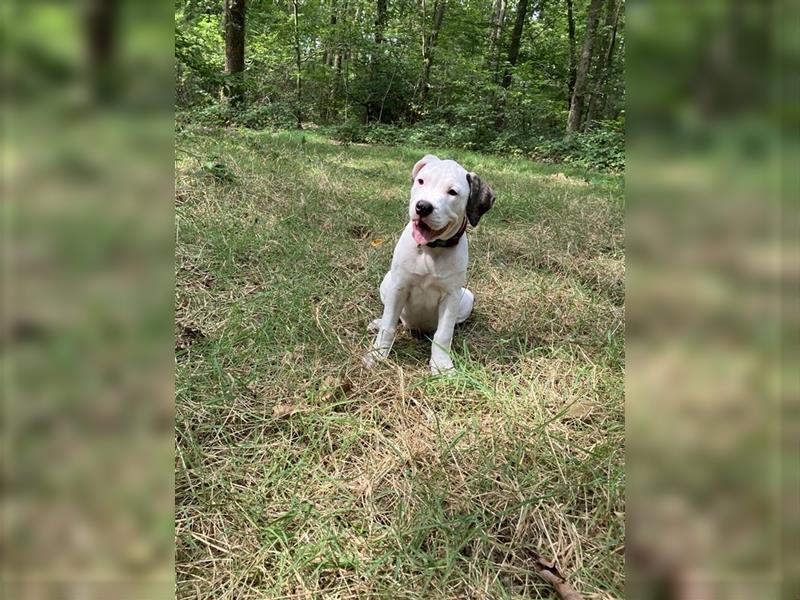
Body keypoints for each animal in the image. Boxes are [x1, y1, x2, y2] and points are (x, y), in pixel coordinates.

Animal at [368, 154, 494, 370]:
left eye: (452, 192)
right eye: (421, 181)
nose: (423, 206)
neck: (430, 250)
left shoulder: (451, 296)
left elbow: (443, 335)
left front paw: (441, 365)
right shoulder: (399, 287)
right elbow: (388, 325)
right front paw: (377, 355)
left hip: (466, 297)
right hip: (388, 281)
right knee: (393, 318)